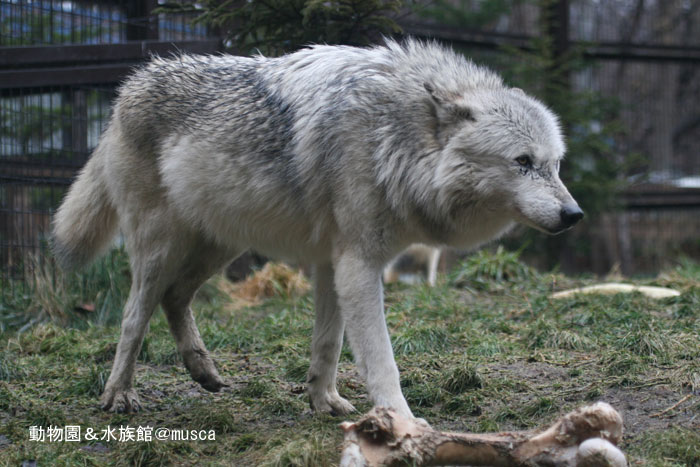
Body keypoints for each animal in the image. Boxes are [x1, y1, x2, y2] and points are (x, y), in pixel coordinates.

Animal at [52, 40, 584, 416]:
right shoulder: (359, 265)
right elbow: (381, 360)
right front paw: (403, 421)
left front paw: (323, 401)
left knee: (174, 297)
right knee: (133, 317)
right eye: (522, 162)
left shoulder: (335, 264)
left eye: (556, 164)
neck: (393, 138)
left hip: (220, 245)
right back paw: (118, 395)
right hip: (161, 249)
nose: (574, 214)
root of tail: (127, 87)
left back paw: (202, 370)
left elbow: (328, 344)